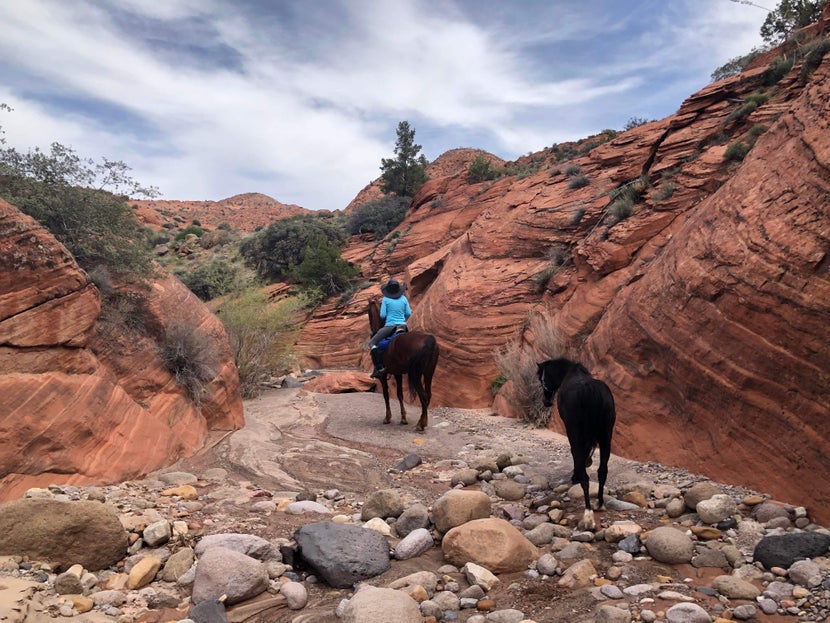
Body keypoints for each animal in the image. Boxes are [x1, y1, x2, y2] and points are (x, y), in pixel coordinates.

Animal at [368, 300, 438, 432]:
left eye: (368, 312)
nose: (371, 331)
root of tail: (429, 339)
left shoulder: (383, 375)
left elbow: (386, 395)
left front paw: (387, 418)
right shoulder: (398, 373)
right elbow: (400, 394)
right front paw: (403, 418)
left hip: (415, 375)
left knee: (423, 396)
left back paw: (420, 425)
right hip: (429, 372)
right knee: (428, 395)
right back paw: (423, 421)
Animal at [540, 358, 616, 528]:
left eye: (542, 378)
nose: (546, 401)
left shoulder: (572, 432)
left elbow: (576, 455)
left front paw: (575, 476)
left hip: (578, 434)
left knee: (585, 478)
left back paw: (588, 515)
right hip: (605, 437)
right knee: (602, 471)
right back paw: (599, 503)